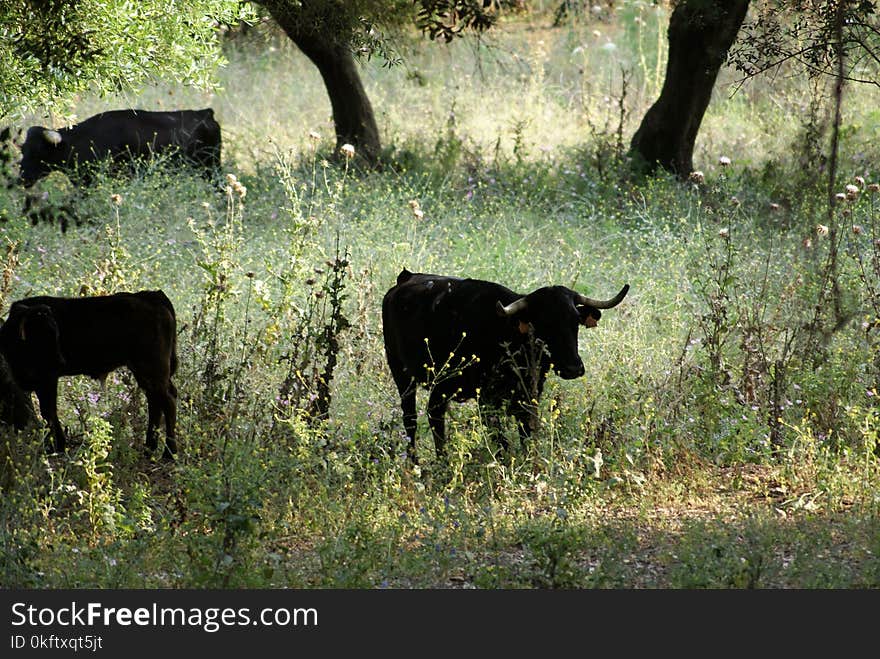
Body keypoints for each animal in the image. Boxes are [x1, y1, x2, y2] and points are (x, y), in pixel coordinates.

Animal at [0, 292, 179, 462]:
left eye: (54, 330)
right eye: (42, 331)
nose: (60, 360)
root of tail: (151, 296)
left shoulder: (47, 378)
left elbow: (48, 411)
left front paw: (54, 447)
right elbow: (49, 412)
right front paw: (57, 446)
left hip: (151, 369)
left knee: (167, 400)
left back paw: (169, 453)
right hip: (146, 372)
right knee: (156, 401)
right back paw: (149, 449)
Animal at [382, 268, 628, 464]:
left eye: (575, 320)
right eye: (544, 323)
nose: (573, 368)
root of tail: (405, 278)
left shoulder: (529, 397)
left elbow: (527, 435)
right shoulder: (486, 400)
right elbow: (501, 441)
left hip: (442, 385)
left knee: (435, 414)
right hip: (401, 373)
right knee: (411, 419)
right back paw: (415, 463)